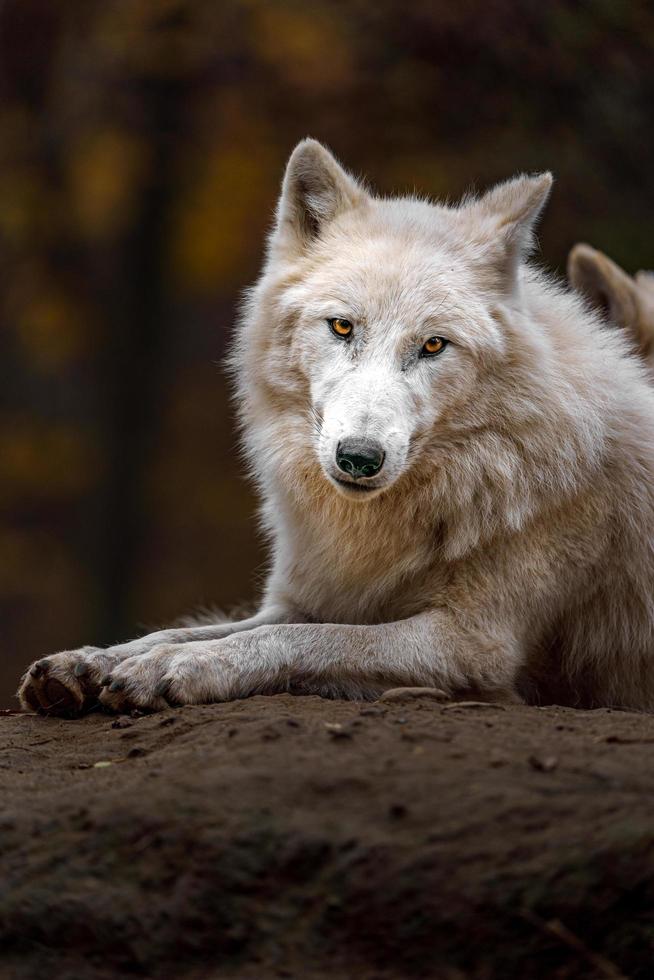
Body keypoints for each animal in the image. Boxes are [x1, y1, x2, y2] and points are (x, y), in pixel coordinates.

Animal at [16, 142, 654, 716]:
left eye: (433, 345)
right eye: (342, 326)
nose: (359, 457)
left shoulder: (472, 643)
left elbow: (302, 639)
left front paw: (180, 669)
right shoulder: (309, 595)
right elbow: (197, 629)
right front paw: (91, 662)